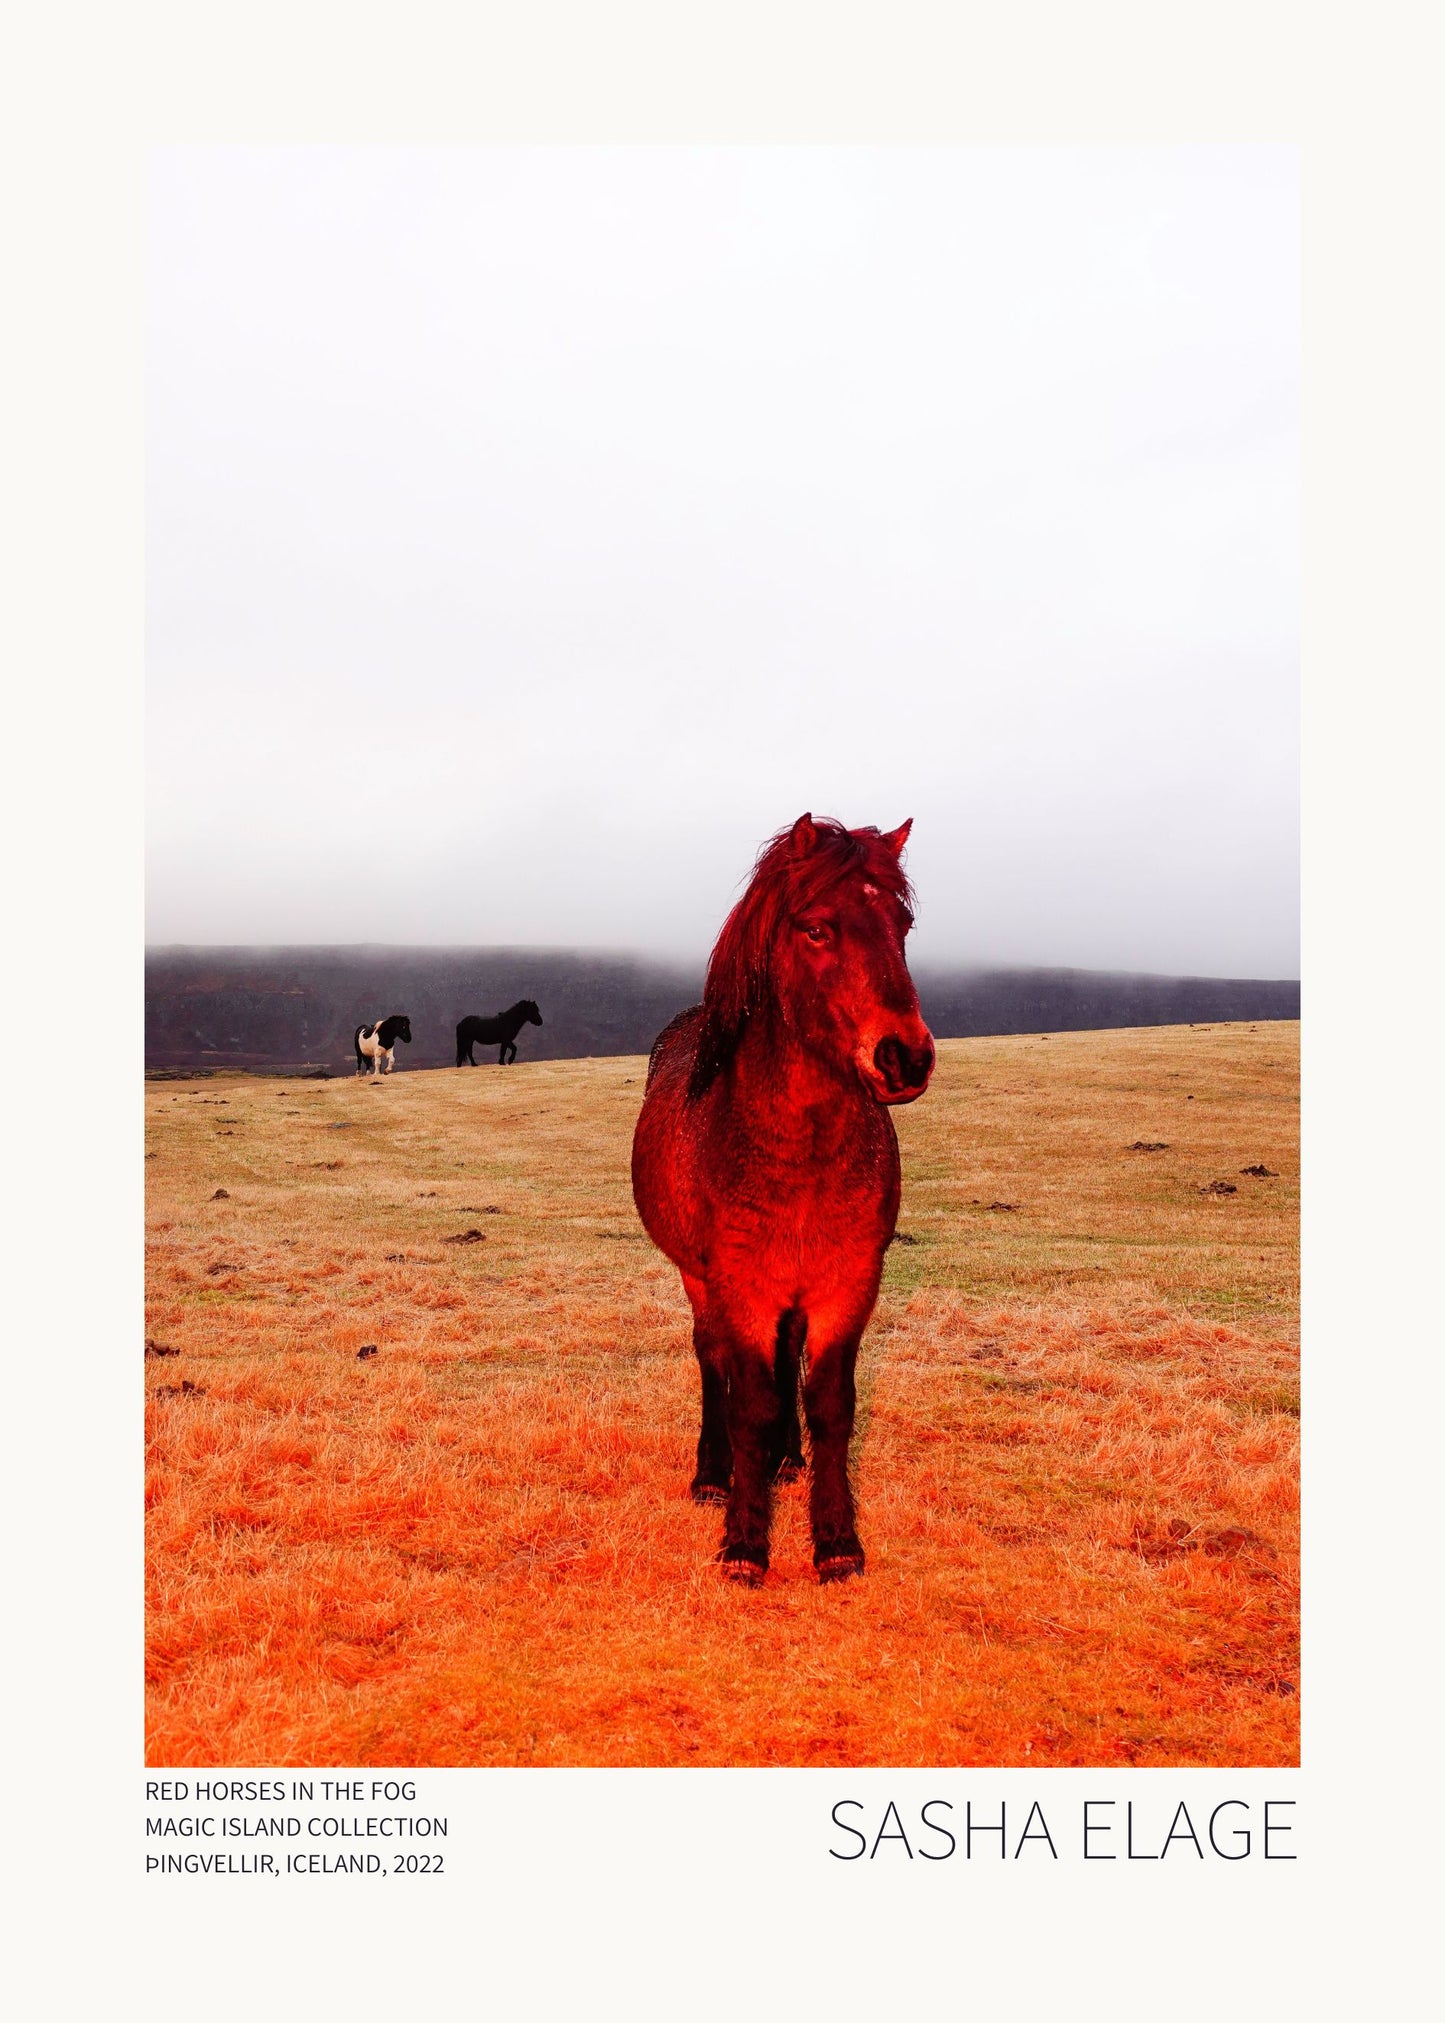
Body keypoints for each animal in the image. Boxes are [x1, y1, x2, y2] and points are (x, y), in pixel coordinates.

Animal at [631, 813, 934, 1586]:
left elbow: (827, 1404)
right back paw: (714, 1476)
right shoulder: (740, 1285)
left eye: (903, 924)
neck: (799, 1149)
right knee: (710, 1357)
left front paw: (835, 1540)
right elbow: (751, 1403)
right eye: (816, 928)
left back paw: (787, 1462)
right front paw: (744, 1541)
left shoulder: (848, 1282)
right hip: (699, 1277)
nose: (905, 1058)